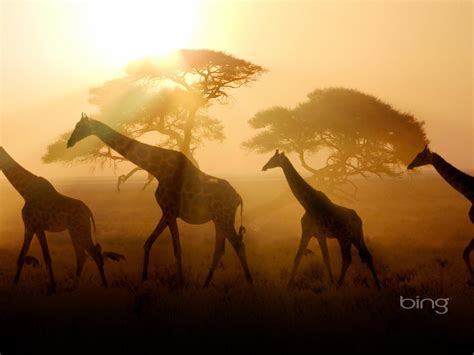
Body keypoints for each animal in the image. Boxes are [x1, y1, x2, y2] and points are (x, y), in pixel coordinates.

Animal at [0, 147, 113, 292]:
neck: (24, 191)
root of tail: (88, 211)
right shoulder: (29, 227)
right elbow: (22, 257)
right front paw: (14, 285)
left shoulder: (36, 226)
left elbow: (47, 257)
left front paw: (52, 288)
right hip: (73, 230)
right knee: (82, 255)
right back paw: (73, 286)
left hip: (80, 228)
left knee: (94, 253)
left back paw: (104, 285)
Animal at [67, 114, 254, 290]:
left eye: (80, 126)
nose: (69, 142)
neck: (157, 169)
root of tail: (238, 197)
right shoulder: (166, 212)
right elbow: (148, 243)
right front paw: (143, 279)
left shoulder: (170, 212)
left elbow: (177, 249)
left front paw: (180, 284)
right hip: (218, 219)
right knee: (220, 250)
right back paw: (205, 285)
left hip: (224, 217)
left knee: (238, 244)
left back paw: (250, 283)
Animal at [262, 150, 380, 290]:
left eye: (273, 159)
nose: (263, 167)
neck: (307, 204)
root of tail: (358, 220)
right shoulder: (311, 233)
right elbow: (305, 257)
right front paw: (290, 284)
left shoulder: (316, 233)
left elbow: (318, 258)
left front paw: (331, 283)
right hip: (356, 236)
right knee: (367, 255)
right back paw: (378, 285)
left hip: (344, 237)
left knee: (347, 259)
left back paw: (339, 284)